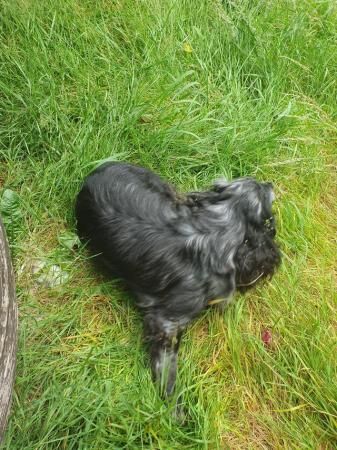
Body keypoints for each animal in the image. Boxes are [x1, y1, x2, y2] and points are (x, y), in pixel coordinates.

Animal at [75, 163, 280, 396]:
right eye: (265, 193)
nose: (271, 183)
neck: (214, 231)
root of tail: (93, 175)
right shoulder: (167, 321)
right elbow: (167, 366)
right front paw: (172, 400)